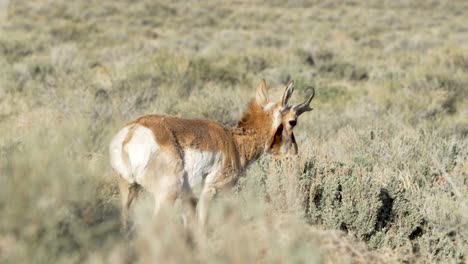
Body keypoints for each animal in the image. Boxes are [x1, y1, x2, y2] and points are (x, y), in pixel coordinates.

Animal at [109, 79, 314, 229]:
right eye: (293, 121)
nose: (295, 152)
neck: (234, 140)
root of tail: (132, 132)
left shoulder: (189, 198)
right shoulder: (211, 190)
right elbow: (202, 226)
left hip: (129, 190)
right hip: (166, 196)